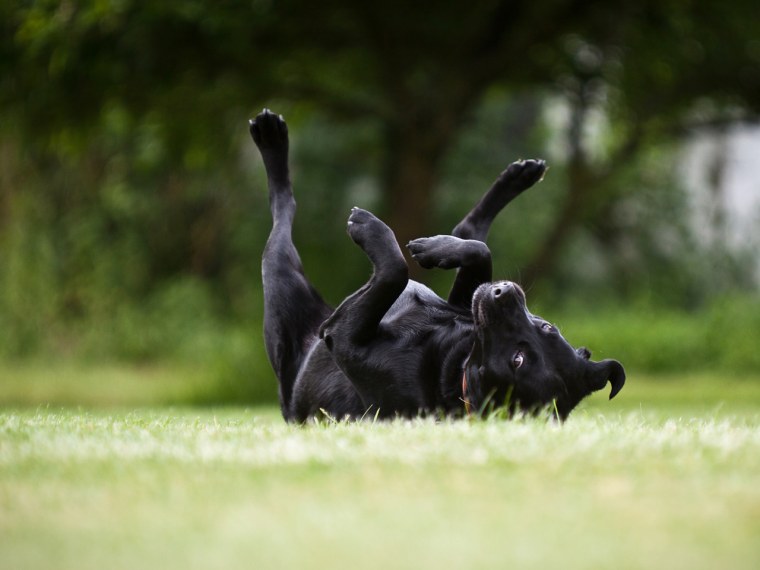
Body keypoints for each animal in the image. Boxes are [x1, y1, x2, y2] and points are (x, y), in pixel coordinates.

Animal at [249, 108, 624, 422]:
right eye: (549, 329)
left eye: (519, 360)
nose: (504, 292)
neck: (456, 367)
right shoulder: (465, 302)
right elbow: (479, 251)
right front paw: (434, 250)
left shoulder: (343, 338)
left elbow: (395, 269)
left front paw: (368, 227)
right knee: (471, 232)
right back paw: (518, 177)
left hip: (280, 288)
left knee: (283, 211)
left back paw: (271, 140)